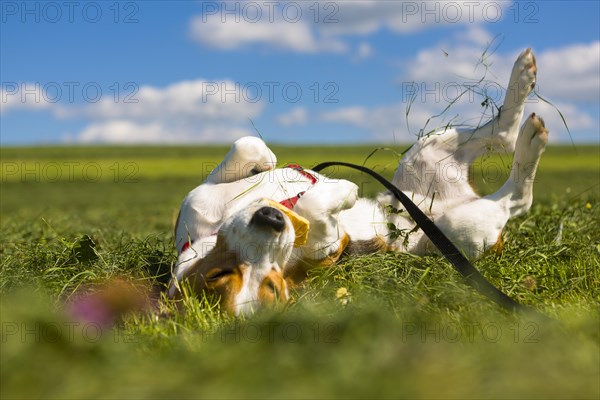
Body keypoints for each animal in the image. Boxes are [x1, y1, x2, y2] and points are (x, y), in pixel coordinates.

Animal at [168, 48, 544, 316]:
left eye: (216, 273)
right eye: (271, 284)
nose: (271, 219)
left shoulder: (198, 200)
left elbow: (247, 146)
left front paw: (272, 166)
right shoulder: (329, 244)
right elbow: (318, 210)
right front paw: (342, 192)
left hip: (426, 152)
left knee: (502, 134)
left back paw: (525, 87)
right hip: (466, 230)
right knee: (515, 198)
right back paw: (532, 135)